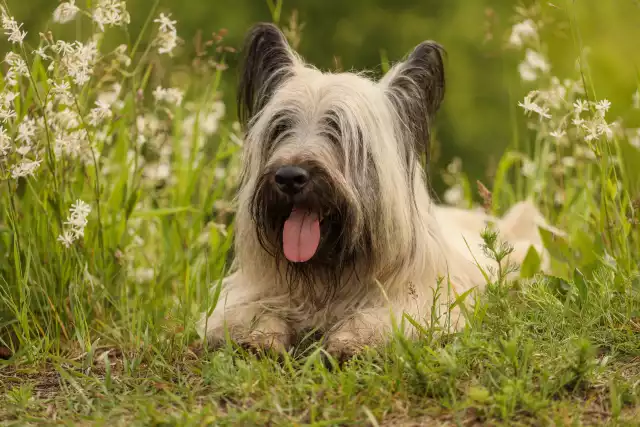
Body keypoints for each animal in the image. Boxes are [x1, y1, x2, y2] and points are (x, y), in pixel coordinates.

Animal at [195, 22, 560, 358]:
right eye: (281, 127)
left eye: (339, 131)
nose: (289, 177)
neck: (328, 275)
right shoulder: (247, 292)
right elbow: (243, 312)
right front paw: (255, 336)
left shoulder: (423, 301)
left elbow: (388, 318)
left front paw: (352, 340)